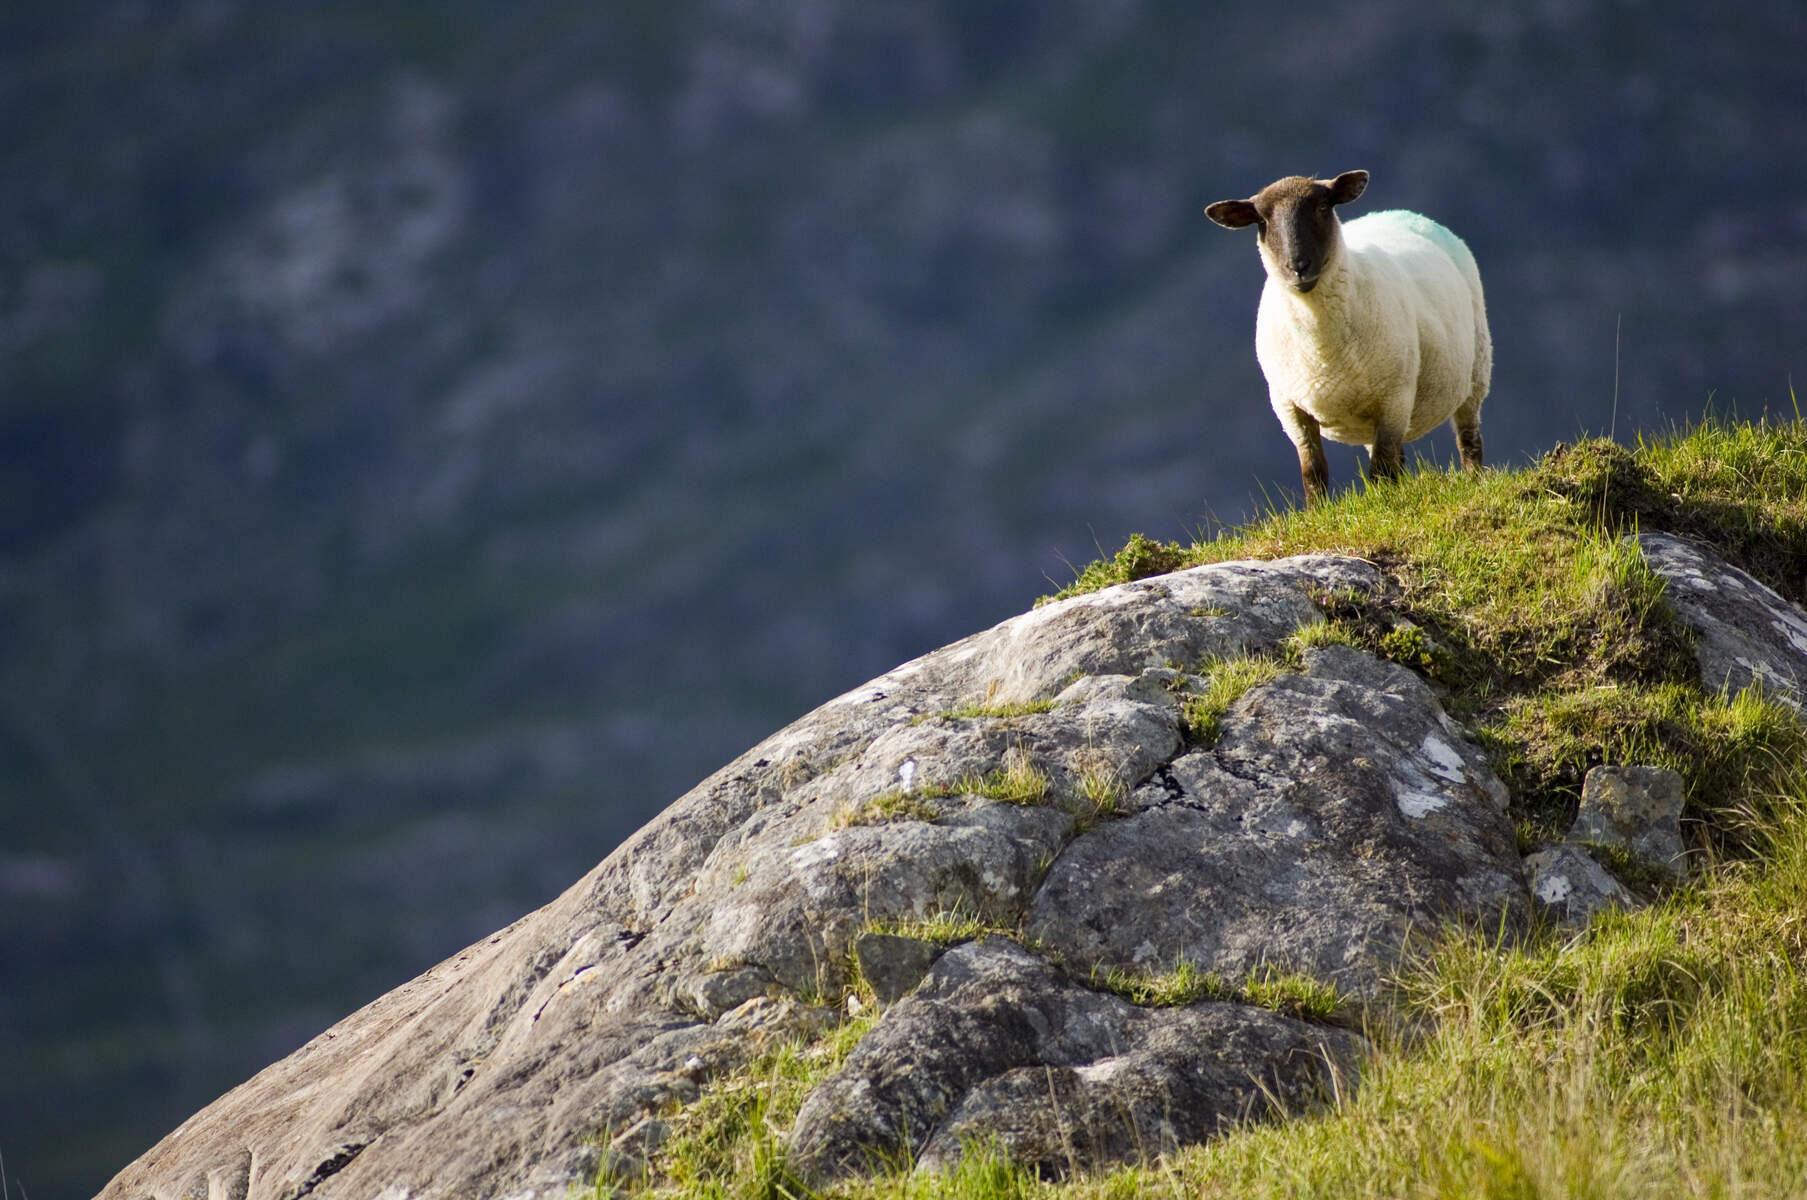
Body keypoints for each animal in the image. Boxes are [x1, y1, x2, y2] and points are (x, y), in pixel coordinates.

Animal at [1207, 170, 1488, 498]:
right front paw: (1319, 507)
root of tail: (1397, 213)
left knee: (1468, 438)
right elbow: (1313, 470)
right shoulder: (1290, 408)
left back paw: (1474, 479)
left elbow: (1380, 470)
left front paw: (1383, 503)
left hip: (1476, 371)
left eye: (1322, 207)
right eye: (1262, 221)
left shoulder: (1394, 397)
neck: (1322, 349)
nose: (1298, 266)